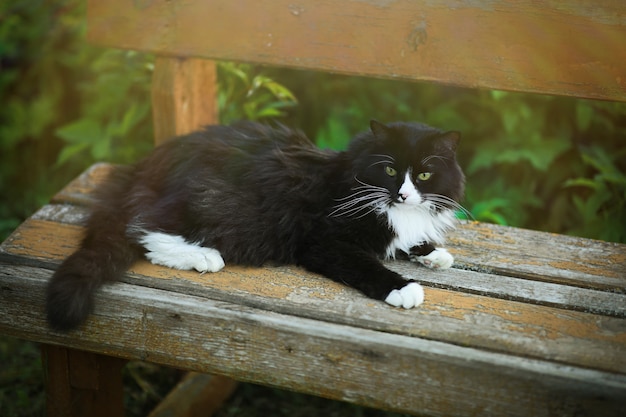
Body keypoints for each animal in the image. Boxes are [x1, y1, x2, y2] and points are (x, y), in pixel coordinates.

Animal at [45, 118, 464, 330]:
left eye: (425, 175)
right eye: (390, 170)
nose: (404, 194)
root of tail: (143, 169)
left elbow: (410, 241)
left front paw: (433, 253)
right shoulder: (325, 240)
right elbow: (365, 264)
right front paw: (403, 288)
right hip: (221, 205)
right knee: (142, 228)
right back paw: (204, 257)